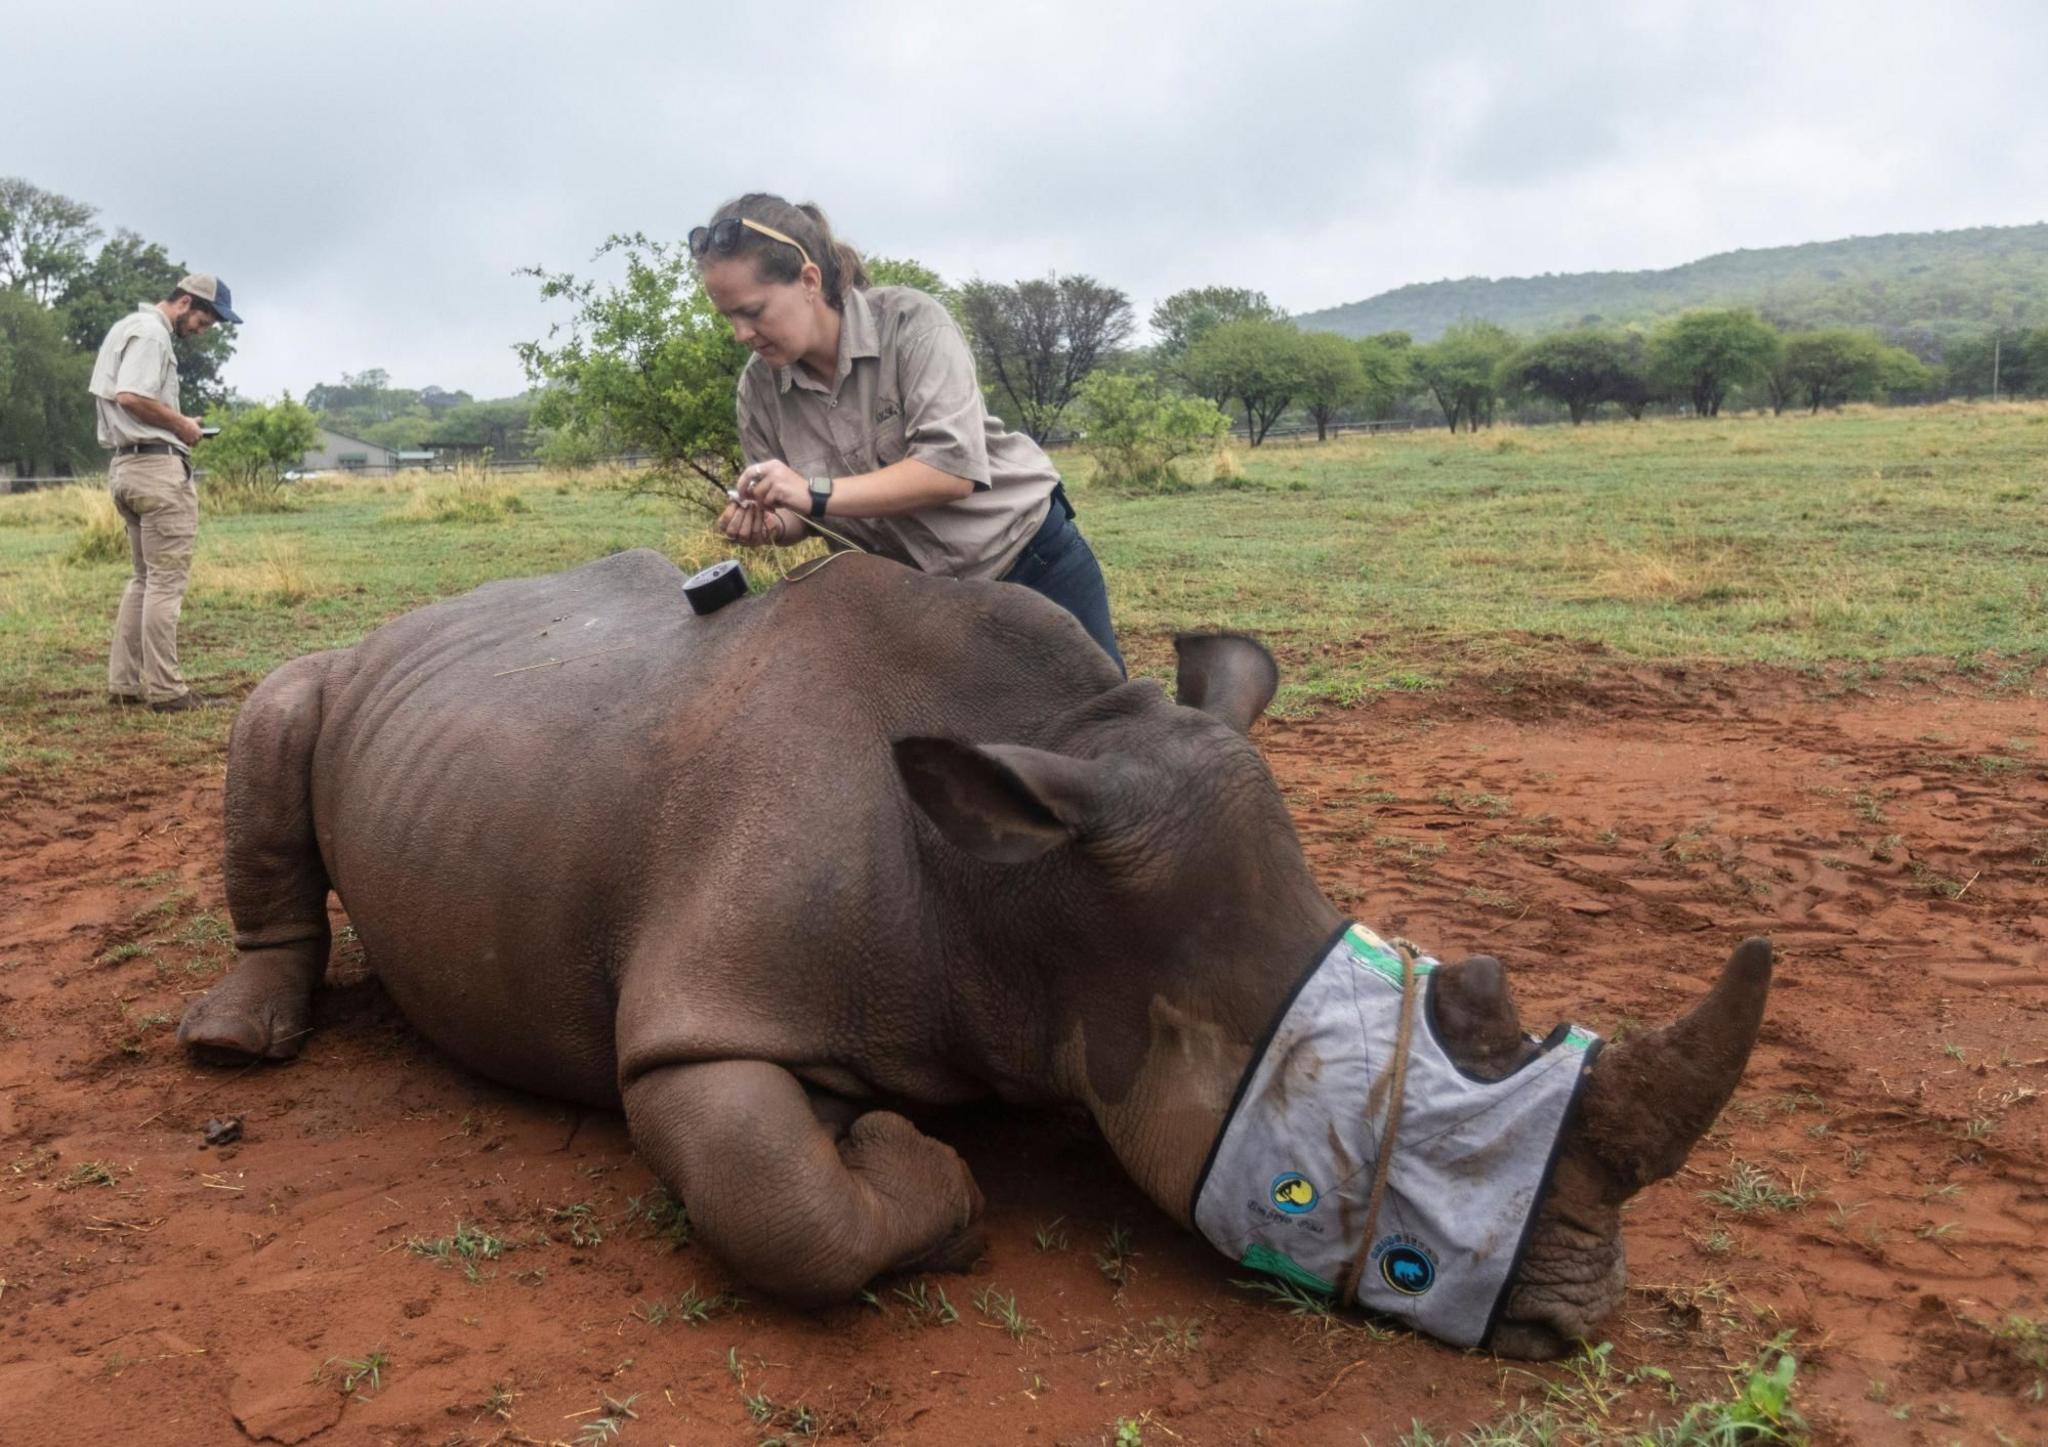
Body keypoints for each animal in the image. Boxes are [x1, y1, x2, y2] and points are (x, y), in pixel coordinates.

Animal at [184, 552, 1769, 1358]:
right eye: (1372, 1208)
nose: (1577, 1327)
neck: (1023, 890)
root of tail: (415, 618)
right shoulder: (696, 1026)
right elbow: (786, 1208)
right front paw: (930, 1175)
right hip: (331, 673)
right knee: (276, 707)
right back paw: (230, 1044)